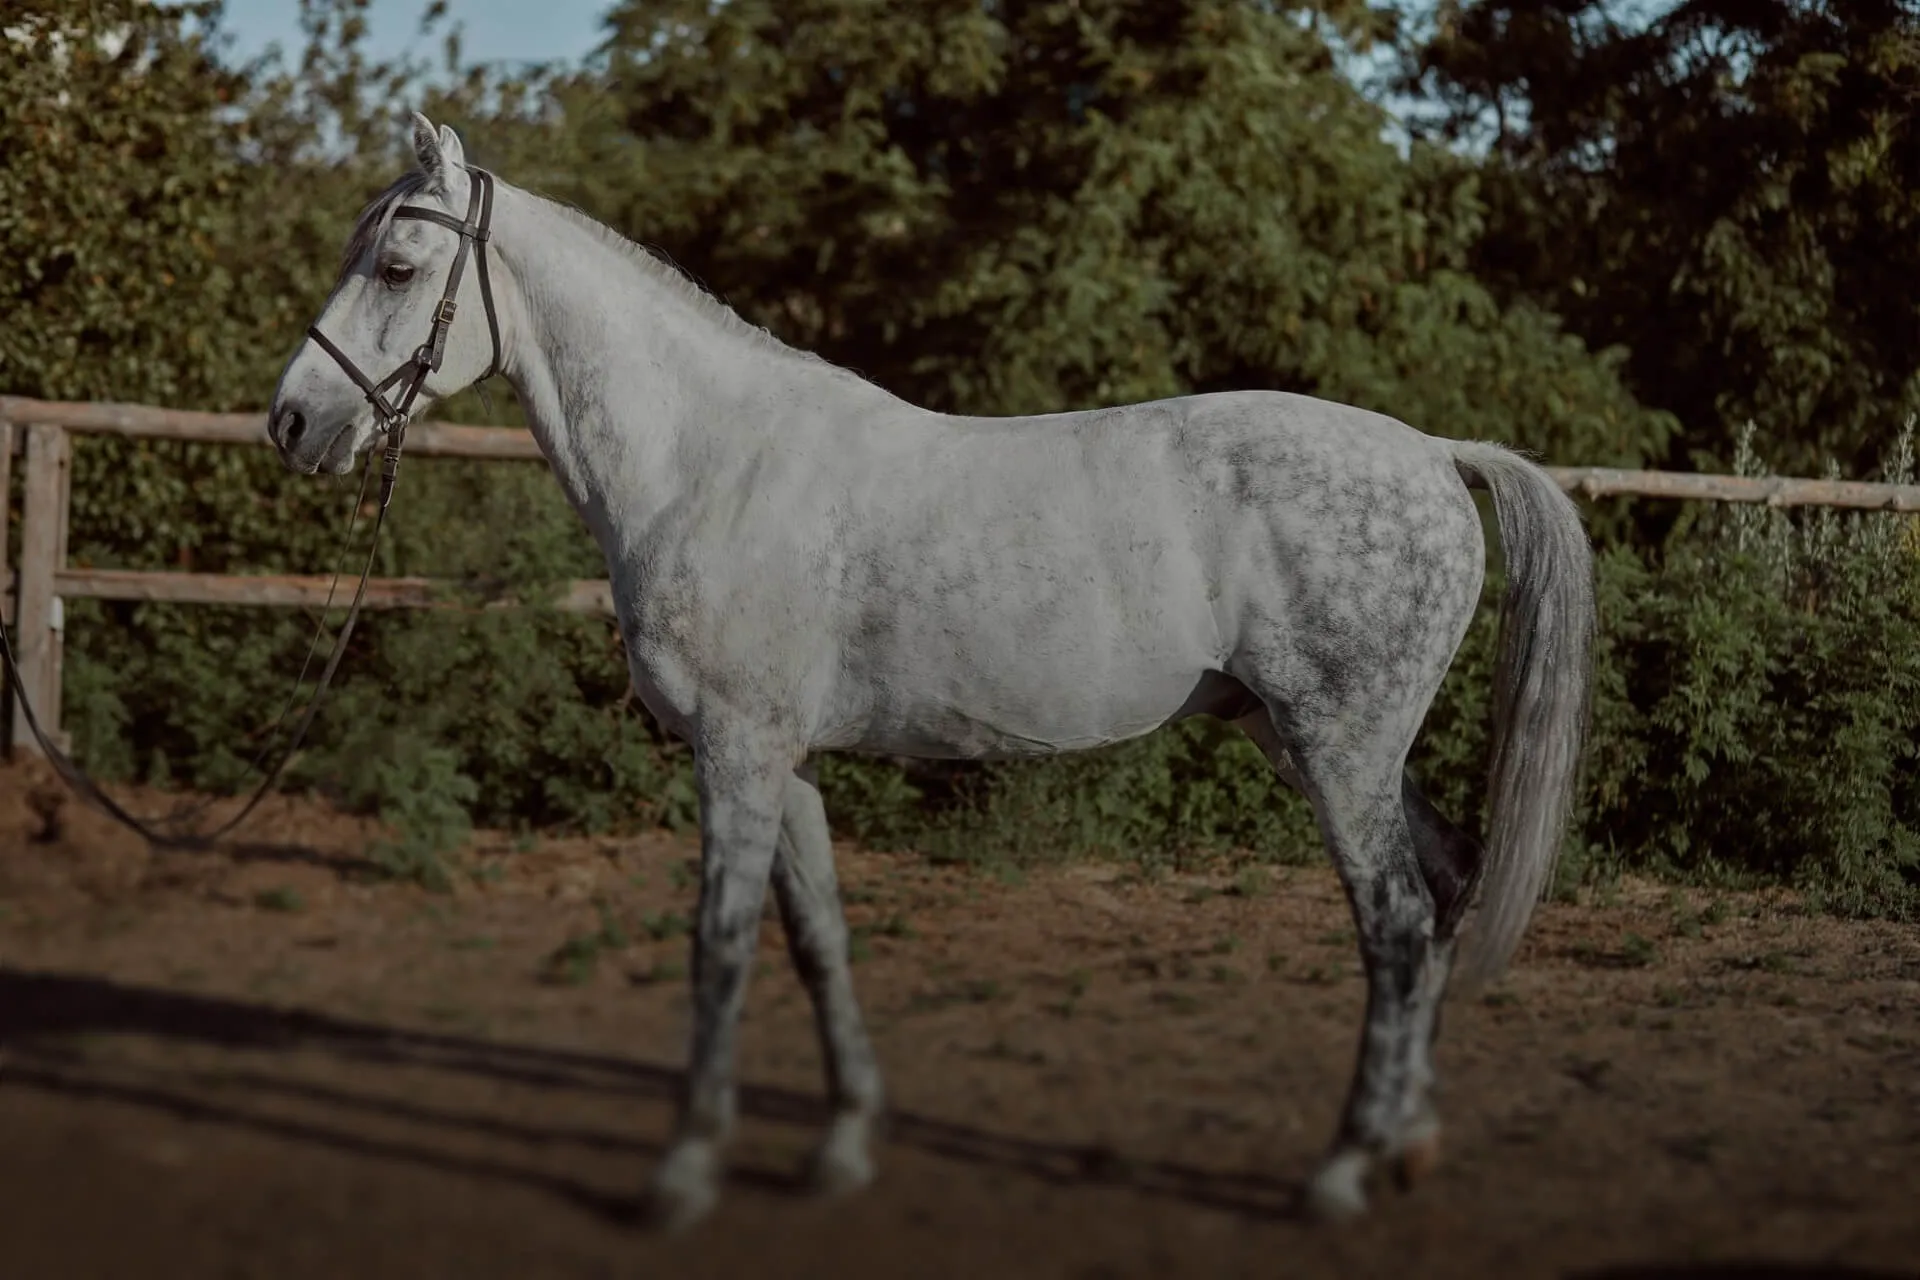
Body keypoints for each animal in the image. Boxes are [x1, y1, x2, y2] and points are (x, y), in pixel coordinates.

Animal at [268, 114, 1595, 1229]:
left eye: (398, 268)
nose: (292, 423)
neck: (711, 463)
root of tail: (1435, 454)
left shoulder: (737, 751)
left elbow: (721, 944)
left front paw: (685, 1170)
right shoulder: (782, 758)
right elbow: (817, 939)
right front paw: (842, 1146)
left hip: (1338, 743)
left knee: (1395, 923)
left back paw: (1341, 1171)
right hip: (1317, 738)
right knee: (1442, 892)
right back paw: (1409, 1143)